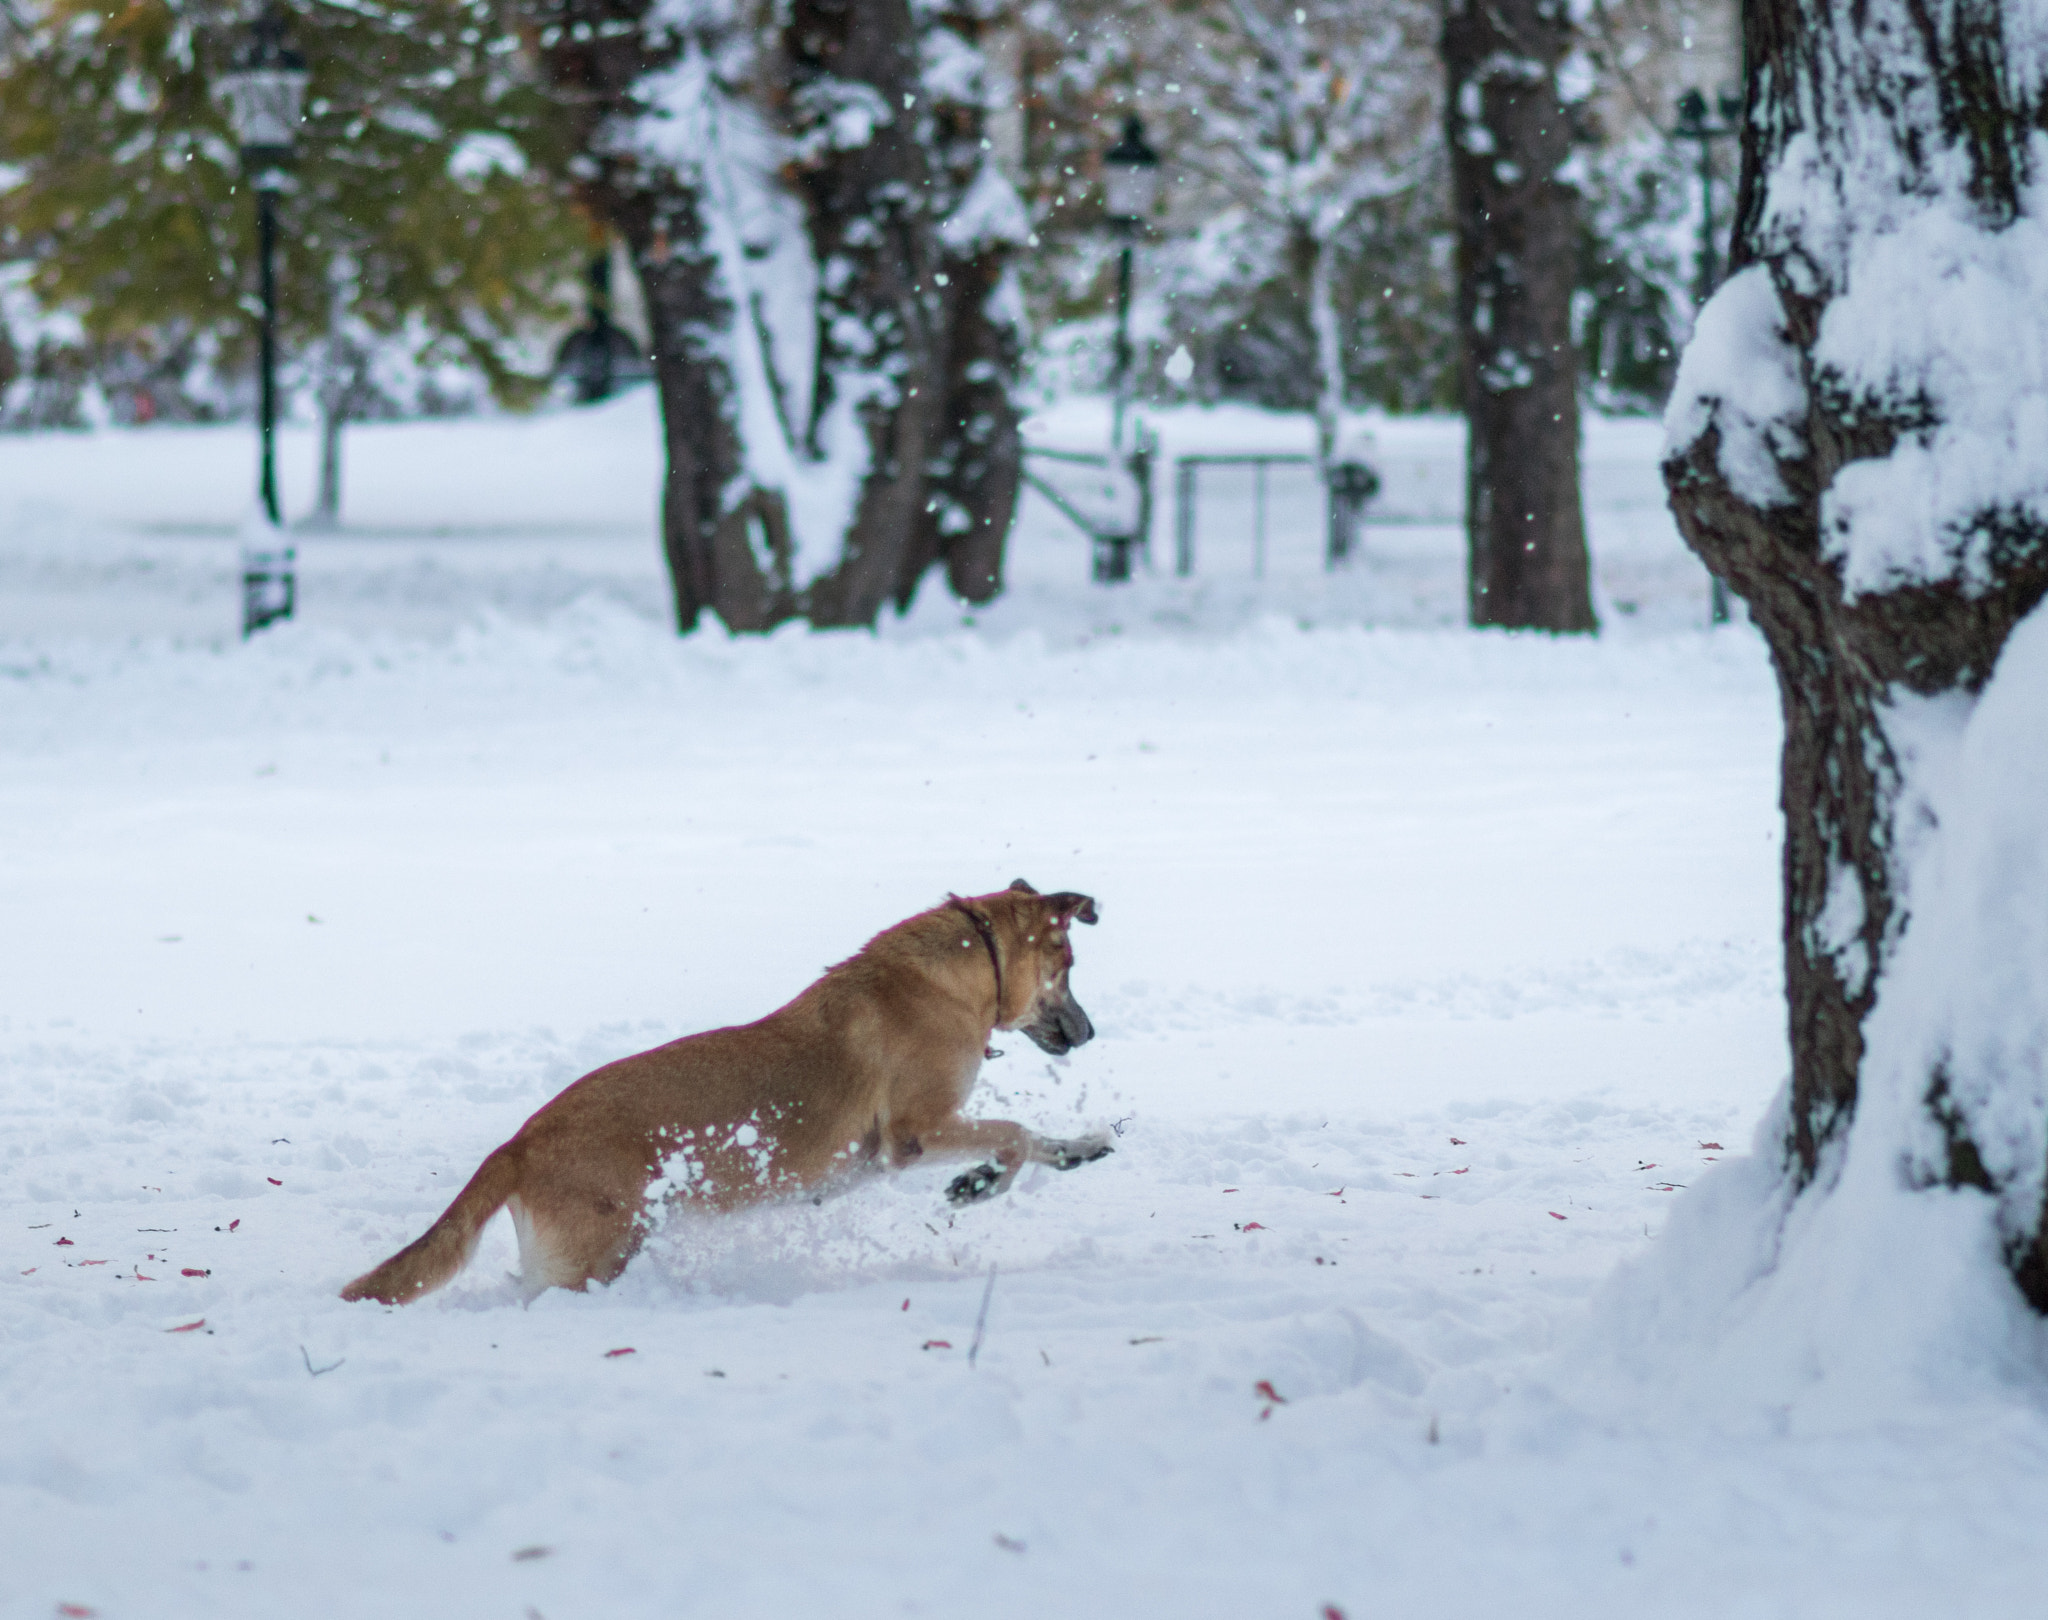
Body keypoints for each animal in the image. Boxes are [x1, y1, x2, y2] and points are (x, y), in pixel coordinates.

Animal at [339, 880, 1105, 1310]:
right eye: (1067, 965)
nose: (1091, 1031)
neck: (970, 964)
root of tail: (520, 1142)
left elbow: (1037, 1140)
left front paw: (1079, 1148)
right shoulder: (917, 1132)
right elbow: (1012, 1135)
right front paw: (978, 1183)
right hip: (596, 1256)